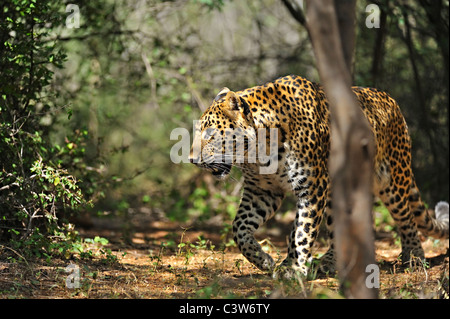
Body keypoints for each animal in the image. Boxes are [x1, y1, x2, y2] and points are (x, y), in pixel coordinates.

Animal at [188, 75, 448, 280]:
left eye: (210, 134)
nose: (191, 159)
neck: (259, 151)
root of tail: (391, 100)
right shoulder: (263, 191)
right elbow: (240, 228)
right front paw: (266, 261)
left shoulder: (312, 187)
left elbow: (303, 230)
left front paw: (294, 269)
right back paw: (329, 262)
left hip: (393, 177)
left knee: (406, 217)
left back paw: (414, 256)